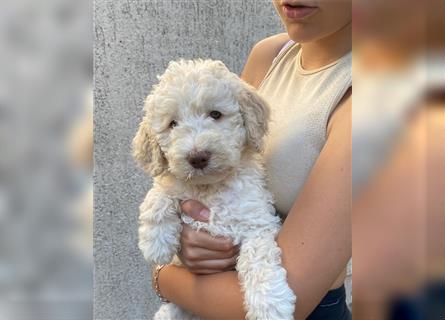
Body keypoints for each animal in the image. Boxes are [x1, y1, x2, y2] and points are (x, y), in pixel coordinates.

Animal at [134, 58, 296, 318]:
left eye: (215, 114)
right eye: (172, 124)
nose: (197, 157)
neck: (209, 188)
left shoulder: (257, 223)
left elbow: (259, 260)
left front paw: (270, 304)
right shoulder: (174, 182)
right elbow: (159, 193)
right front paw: (155, 243)